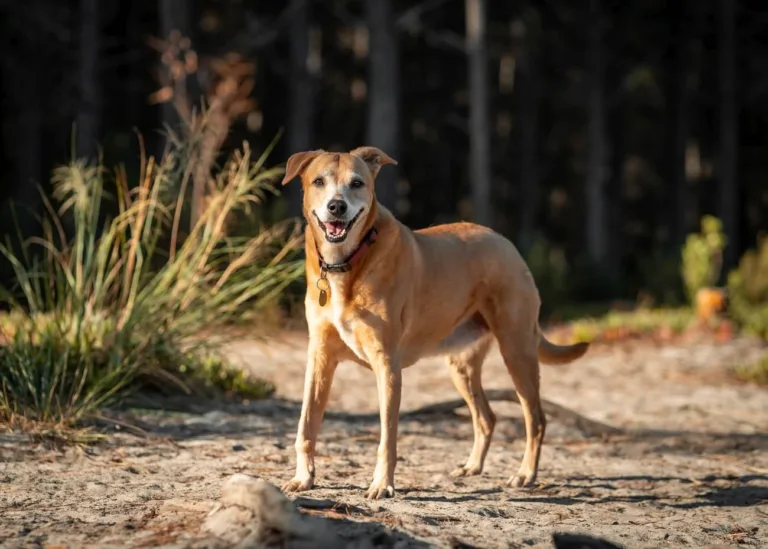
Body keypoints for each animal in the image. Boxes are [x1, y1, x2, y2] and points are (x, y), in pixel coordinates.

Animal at [280, 148, 588, 498]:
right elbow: (306, 425)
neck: (346, 263)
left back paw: (525, 475)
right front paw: (303, 478)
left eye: (356, 183)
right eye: (319, 181)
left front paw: (382, 485)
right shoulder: (319, 359)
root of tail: (503, 241)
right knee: (487, 417)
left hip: (517, 352)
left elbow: (387, 437)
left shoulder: (387, 365)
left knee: (535, 419)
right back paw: (472, 467)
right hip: (462, 367)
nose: (337, 206)